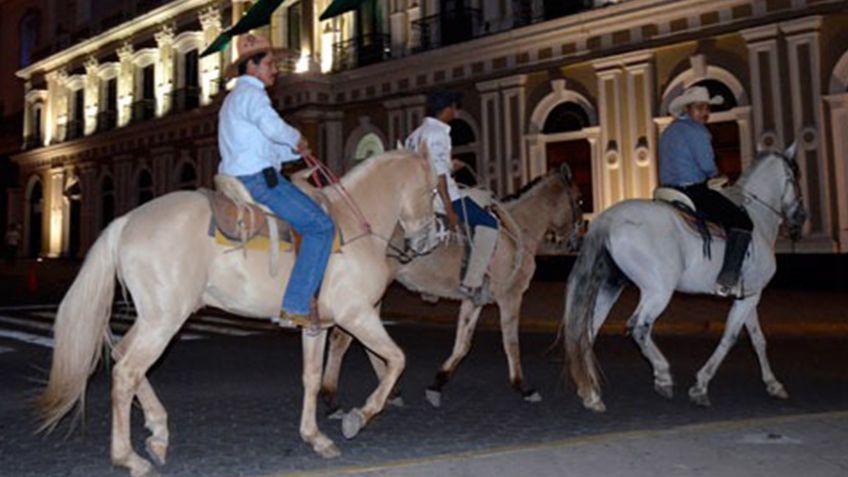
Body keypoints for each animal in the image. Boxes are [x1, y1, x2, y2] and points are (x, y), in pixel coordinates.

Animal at [36, 150, 440, 476]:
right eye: (434, 188)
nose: (430, 240)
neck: (354, 226)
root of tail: (126, 222)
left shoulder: (317, 327)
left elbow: (311, 378)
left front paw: (315, 437)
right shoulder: (357, 316)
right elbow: (397, 359)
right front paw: (360, 416)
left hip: (153, 317)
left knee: (123, 357)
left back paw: (158, 431)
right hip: (164, 321)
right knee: (126, 373)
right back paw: (129, 457)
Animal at [318, 165, 584, 410]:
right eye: (580, 200)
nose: (576, 242)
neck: (517, 227)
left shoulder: (474, 300)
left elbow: (462, 345)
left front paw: (437, 383)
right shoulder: (511, 296)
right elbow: (511, 343)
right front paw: (523, 386)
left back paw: (386, 392)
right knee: (343, 339)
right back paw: (332, 397)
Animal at [568, 143, 804, 410]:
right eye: (795, 177)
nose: (800, 217)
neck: (758, 218)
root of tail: (608, 219)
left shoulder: (748, 295)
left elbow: (757, 339)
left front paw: (773, 384)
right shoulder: (752, 295)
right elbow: (730, 337)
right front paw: (700, 385)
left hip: (610, 286)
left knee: (587, 331)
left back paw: (591, 394)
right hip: (658, 291)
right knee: (639, 327)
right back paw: (662, 376)